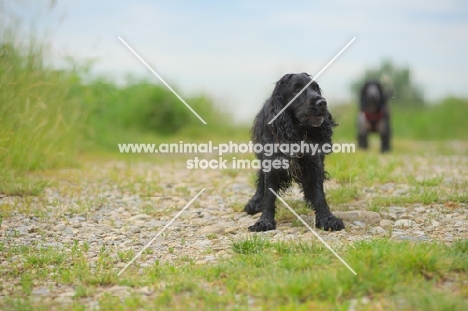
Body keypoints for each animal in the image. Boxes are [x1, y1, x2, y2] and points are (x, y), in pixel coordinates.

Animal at [245, 73, 344, 233]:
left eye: (316, 88)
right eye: (296, 89)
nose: (322, 103)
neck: (297, 132)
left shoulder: (314, 161)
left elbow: (319, 192)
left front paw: (327, 218)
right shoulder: (271, 162)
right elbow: (269, 194)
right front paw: (264, 221)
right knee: (261, 178)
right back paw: (255, 202)